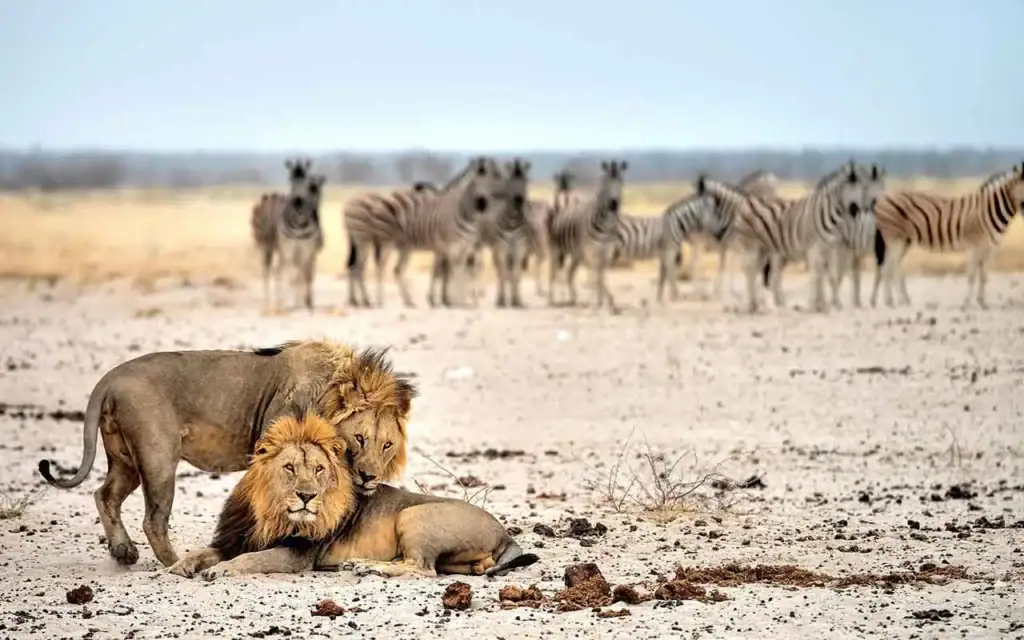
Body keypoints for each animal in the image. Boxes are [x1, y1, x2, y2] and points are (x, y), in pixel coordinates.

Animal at [547, 160, 628, 310]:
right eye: (605, 182)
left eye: (621, 181)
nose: (613, 205)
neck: (606, 225)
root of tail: (562, 206)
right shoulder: (591, 251)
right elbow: (595, 276)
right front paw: (598, 301)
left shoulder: (606, 252)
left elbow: (601, 276)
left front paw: (605, 300)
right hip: (556, 249)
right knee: (553, 272)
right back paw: (551, 299)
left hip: (576, 254)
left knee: (569, 273)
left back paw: (573, 298)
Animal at [695, 161, 879, 313]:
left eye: (863, 188)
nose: (718, 234)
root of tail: (747, 204)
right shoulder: (805, 249)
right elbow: (804, 275)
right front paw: (811, 304)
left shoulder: (824, 247)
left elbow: (820, 275)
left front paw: (820, 305)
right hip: (757, 247)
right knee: (751, 271)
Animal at [870, 162, 1024, 309]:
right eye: (1020, 185)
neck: (989, 210)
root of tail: (883, 197)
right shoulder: (974, 246)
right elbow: (971, 276)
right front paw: (966, 304)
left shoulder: (989, 249)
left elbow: (984, 276)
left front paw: (982, 303)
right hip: (894, 237)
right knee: (890, 266)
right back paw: (896, 301)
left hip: (903, 241)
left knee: (888, 266)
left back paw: (893, 300)